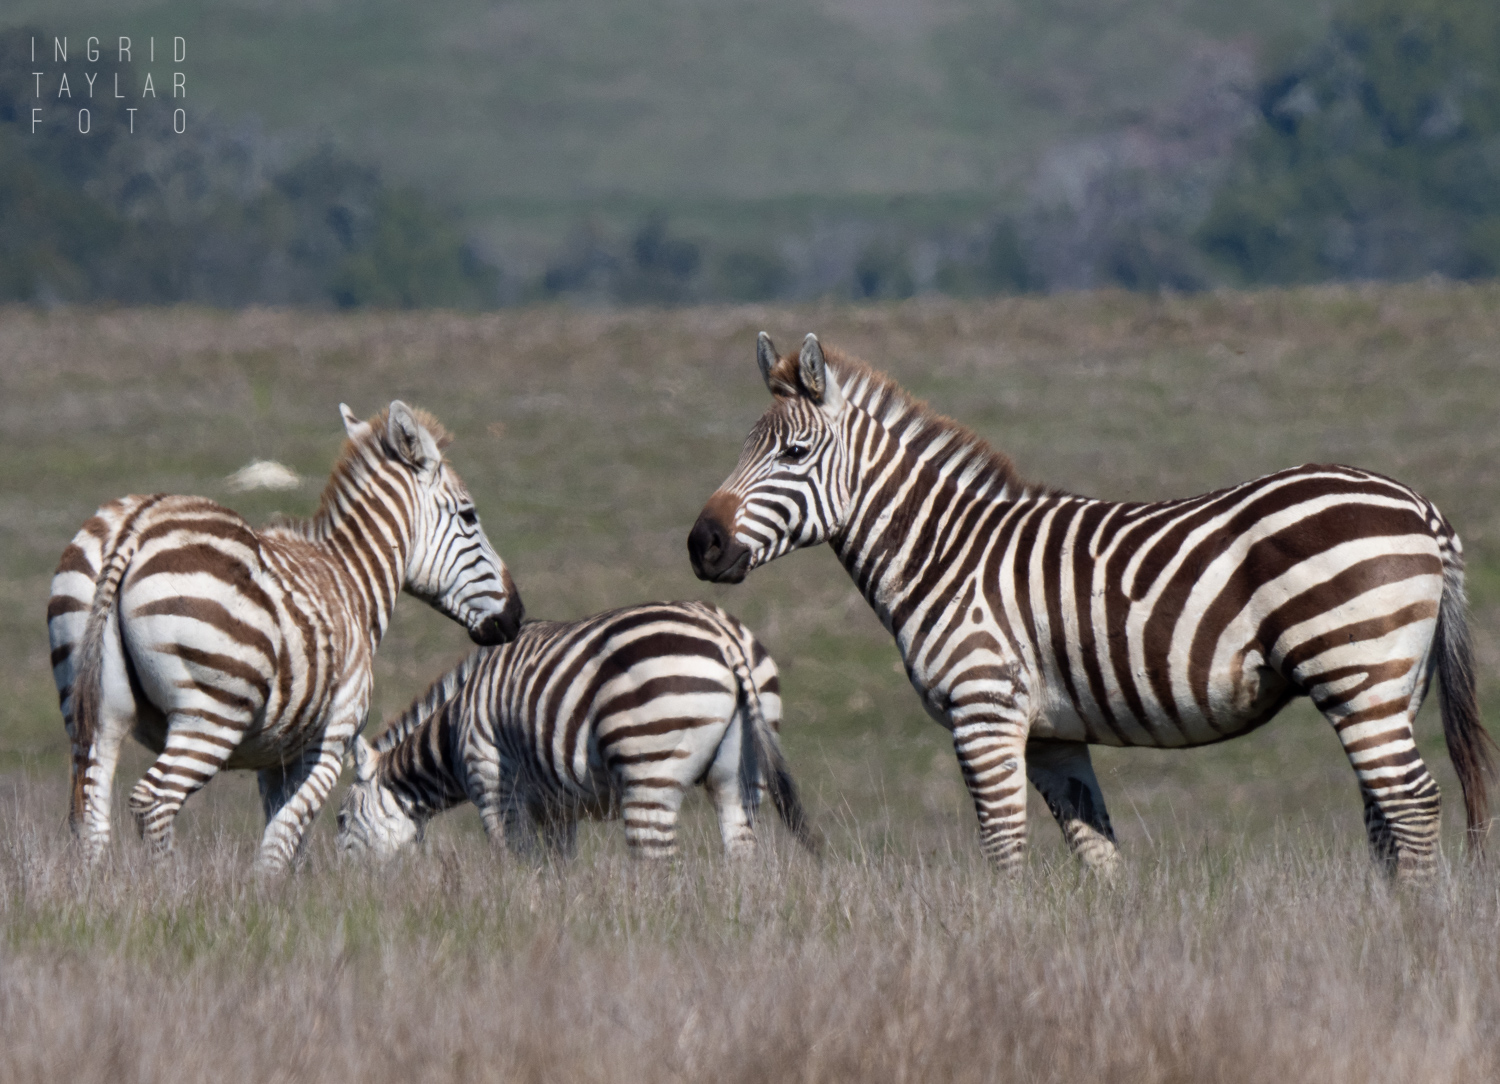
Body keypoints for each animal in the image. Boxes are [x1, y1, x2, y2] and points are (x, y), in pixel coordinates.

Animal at [49, 401, 528, 875]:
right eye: (468, 516)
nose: (516, 616)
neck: (351, 582)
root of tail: (135, 526)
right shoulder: (329, 742)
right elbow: (279, 845)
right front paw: (262, 894)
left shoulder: (273, 756)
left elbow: (286, 844)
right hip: (211, 712)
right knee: (155, 800)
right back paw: (167, 885)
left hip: (93, 705)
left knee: (89, 810)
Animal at [337, 602, 822, 863]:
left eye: (340, 818)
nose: (346, 888)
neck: (456, 726)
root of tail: (724, 636)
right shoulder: (557, 807)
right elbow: (556, 869)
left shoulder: (492, 785)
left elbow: (512, 861)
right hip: (741, 773)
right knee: (741, 850)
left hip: (648, 769)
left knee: (657, 863)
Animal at [687, 332, 1488, 881]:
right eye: (745, 447)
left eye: (793, 454)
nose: (701, 544)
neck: (943, 553)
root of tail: (1420, 508)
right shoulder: (1053, 735)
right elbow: (1097, 852)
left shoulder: (984, 711)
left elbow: (1003, 848)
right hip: (1390, 683)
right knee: (1385, 810)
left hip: (1354, 667)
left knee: (1413, 804)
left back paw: (1413, 927)